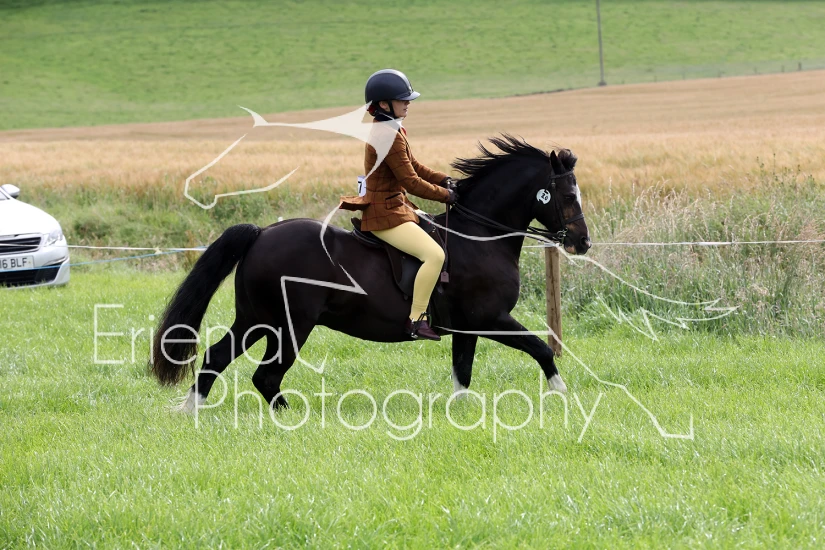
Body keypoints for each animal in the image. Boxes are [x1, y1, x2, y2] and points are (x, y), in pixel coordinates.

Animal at [150, 135, 591, 410]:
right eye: (569, 194)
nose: (582, 243)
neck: (480, 235)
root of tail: (262, 233)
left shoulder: (467, 327)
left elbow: (462, 374)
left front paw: (461, 414)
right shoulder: (491, 318)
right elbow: (540, 349)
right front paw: (562, 396)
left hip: (257, 319)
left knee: (216, 358)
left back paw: (189, 412)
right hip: (290, 325)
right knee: (266, 376)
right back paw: (291, 417)